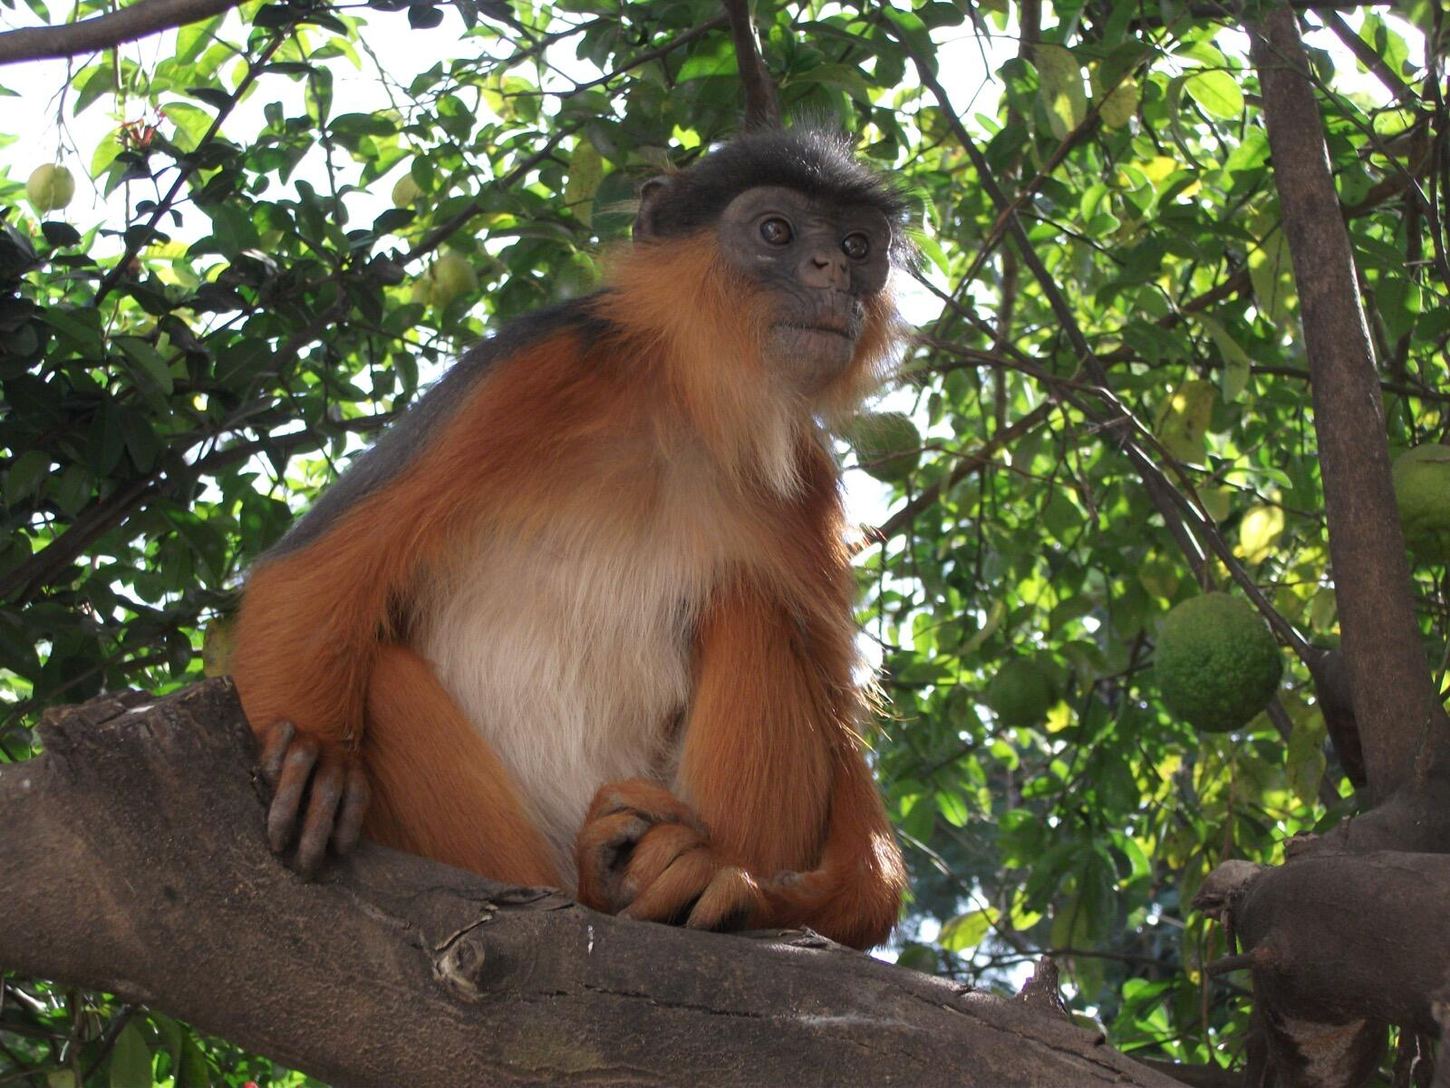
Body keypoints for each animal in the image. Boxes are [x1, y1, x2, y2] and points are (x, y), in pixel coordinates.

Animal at [230, 127, 910, 950]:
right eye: (775, 231)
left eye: (857, 245)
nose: (834, 271)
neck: (679, 405)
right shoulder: (533, 364)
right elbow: (308, 576)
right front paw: (319, 763)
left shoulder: (804, 485)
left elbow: (859, 833)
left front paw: (764, 894)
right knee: (382, 669)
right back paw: (594, 878)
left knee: (754, 604)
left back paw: (683, 879)